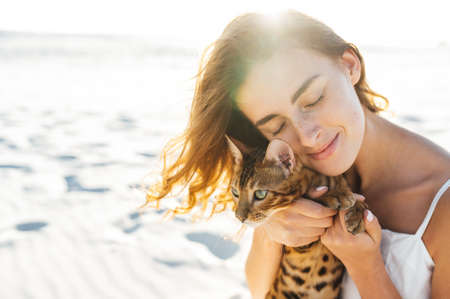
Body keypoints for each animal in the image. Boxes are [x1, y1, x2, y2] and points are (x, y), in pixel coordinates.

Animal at [225, 137, 370, 299]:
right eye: (235, 192)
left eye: (260, 194)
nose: (239, 217)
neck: (319, 180)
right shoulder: (300, 244)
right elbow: (313, 197)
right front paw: (335, 194)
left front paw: (357, 212)